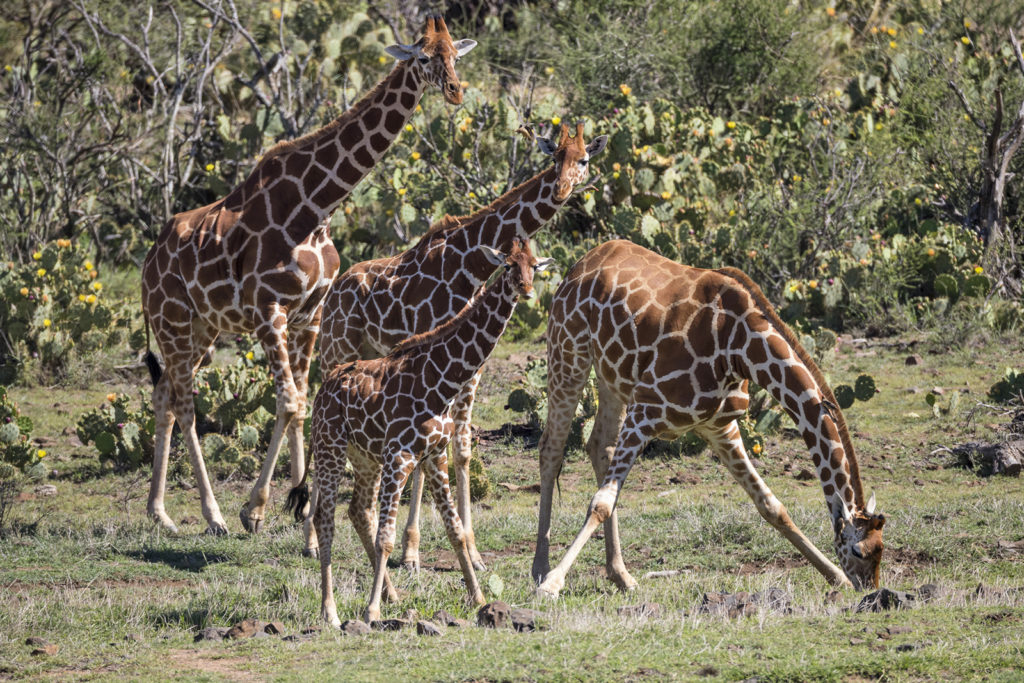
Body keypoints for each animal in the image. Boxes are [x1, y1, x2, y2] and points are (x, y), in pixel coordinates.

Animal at [140, 12, 475, 532]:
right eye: (423, 57)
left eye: (455, 54)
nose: (456, 91)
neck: (316, 207)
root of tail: (148, 261)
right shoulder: (268, 310)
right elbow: (290, 402)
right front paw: (255, 508)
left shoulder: (308, 314)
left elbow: (301, 399)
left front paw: (299, 503)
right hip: (172, 321)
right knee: (184, 403)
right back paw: (212, 515)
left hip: (201, 330)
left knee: (163, 396)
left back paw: (159, 513)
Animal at [284, 240, 552, 626]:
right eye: (508, 265)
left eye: (534, 266)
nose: (526, 289)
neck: (441, 379)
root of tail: (326, 385)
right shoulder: (401, 454)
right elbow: (386, 538)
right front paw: (371, 610)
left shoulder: (434, 453)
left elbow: (455, 530)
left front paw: (479, 596)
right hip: (331, 446)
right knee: (326, 518)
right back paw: (330, 610)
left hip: (364, 458)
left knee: (358, 511)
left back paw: (392, 595)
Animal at [315, 121, 606, 565]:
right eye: (554, 155)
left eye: (584, 159)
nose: (559, 191)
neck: (473, 261)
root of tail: (334, 290)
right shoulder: (436, 356)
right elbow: (428, 456)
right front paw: (412, 550)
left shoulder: (472, 365)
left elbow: (462, 448)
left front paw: (473, 551)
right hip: (337, 348)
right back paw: (310, 540)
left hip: (365, 354)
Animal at [532, 240, 884, 598]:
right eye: (859, 550)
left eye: (881, 547)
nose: (868, 587)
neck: (740, 350)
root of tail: (582, 262)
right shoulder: (646, 410)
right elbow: (602, 503)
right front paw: (552, 583)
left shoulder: (719, 427)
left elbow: (771, 505)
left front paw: (834, 576)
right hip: (569, 354)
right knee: (552, 449)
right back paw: (540, 570)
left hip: (610, 376)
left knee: (599, 446)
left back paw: (621, 575)